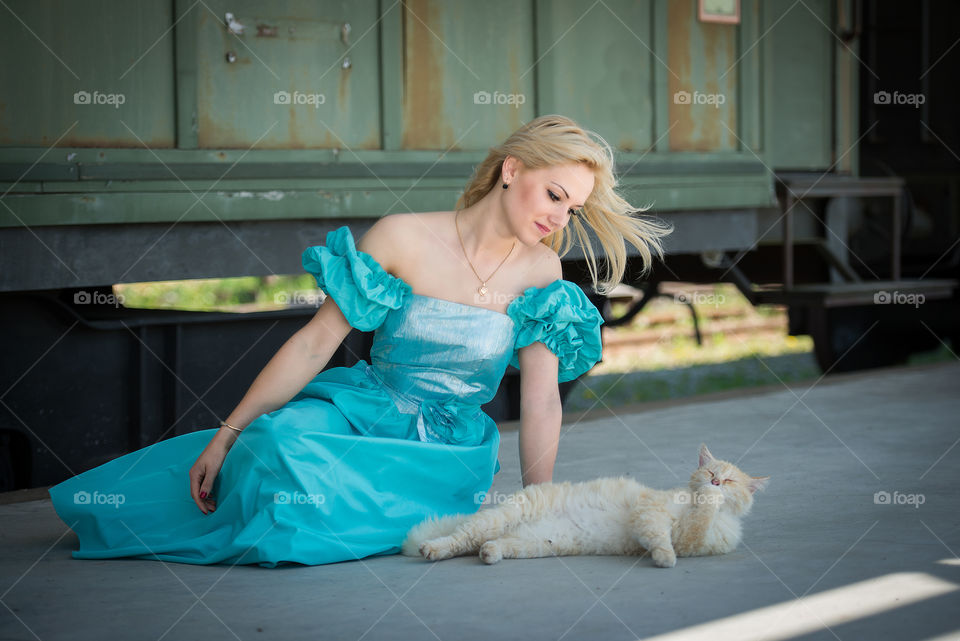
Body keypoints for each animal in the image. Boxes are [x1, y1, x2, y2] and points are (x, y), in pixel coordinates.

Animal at [402, 444, 768, 564]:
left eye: (731, 481)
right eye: (711, 471)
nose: (716, 483)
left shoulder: (692, 540)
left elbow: (693, 526)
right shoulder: (651, 512)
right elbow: (662, 537)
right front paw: (664, 558)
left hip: (534, 544)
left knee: (486, 544)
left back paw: (489, 554)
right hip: (499, 518)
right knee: (460, 538)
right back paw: (432, 549)